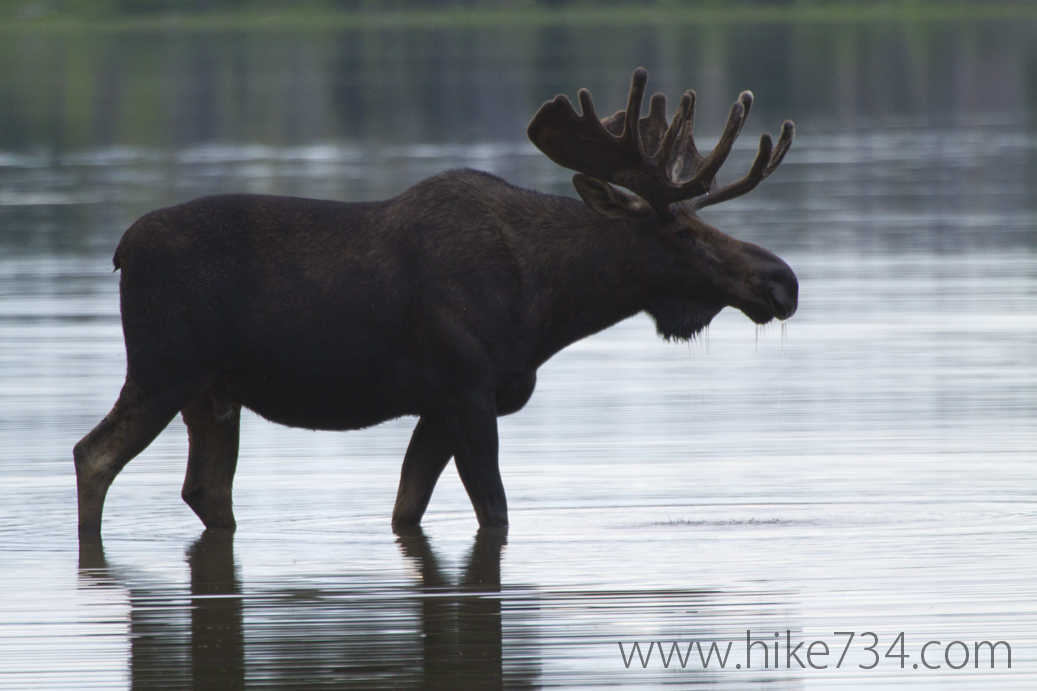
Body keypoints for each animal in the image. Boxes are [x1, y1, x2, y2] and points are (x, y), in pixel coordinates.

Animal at [73, 68, 797, 536]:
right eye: (682, 231)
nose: (781, 281)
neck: (549, 307)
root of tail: (120, 251)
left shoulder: (439, 404)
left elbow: (406, 508)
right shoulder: (465, 386)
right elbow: (495, 510)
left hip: (214, 393)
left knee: (205, 490)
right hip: (163, 370)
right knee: (93, 456)